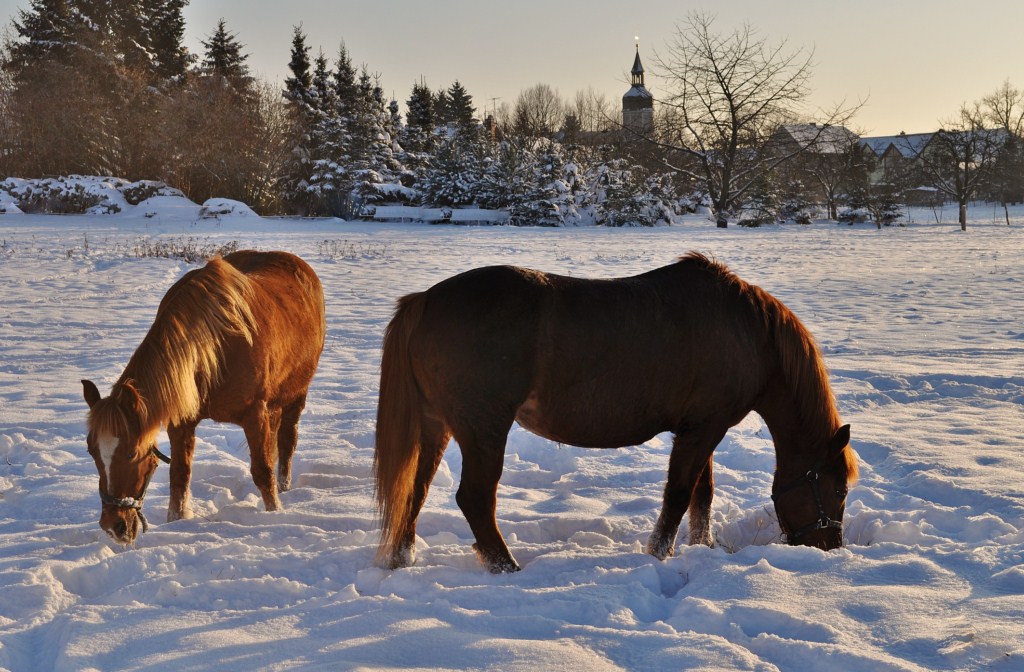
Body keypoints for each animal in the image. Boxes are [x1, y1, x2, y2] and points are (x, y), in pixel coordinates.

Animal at [81, 250, 326, 545]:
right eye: (91, 451)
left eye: (131, 453)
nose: (113, 526)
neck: (212, 349)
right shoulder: (181, 423)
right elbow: (179, 475)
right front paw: (177, 522)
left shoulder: (254, 415)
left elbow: (263, 471)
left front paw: (274, 514)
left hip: (296, 395)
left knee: (287, 442)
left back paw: (285, 487)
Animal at [374, 252, 857, 573]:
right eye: (838, 488)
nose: (830, 545)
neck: (747, 333)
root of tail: (425, 301)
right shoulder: (703, 429)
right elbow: (679, 495)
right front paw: (658, 554)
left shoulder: (702, 428)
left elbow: (701, 494)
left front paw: (703, 546)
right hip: (484, 431)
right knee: (474, 499)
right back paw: (507, 567)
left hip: (437, 427)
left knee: (415, 490)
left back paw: (403, 558)